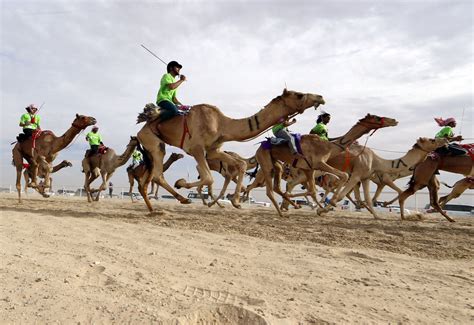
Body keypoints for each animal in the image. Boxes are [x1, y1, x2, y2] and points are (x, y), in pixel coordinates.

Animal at [135, 88, 324, 213]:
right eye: (299, 95)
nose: (320, 97)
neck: (222, 124)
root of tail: (139, 131)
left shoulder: (214, 150)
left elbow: (240, 165)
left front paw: (236, 201)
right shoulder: (195, 148)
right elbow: (209, 178)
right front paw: (181, 182)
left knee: (154, 175)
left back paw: (161, 206)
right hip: (153, 142)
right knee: (158, 173)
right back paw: (178, 198)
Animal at [254, 112, 398, 216]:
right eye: (377, 118)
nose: (394, 120)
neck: (329, 147)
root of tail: (259, 147)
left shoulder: (309, 169)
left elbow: (313, 191)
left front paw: (320, 207)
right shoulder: (319, 163)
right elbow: (344, 176)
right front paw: (327, 206)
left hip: (277, 164)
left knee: (278, 186)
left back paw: (289, 206)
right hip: (265, 162)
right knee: (270, 190)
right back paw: (282, 212)